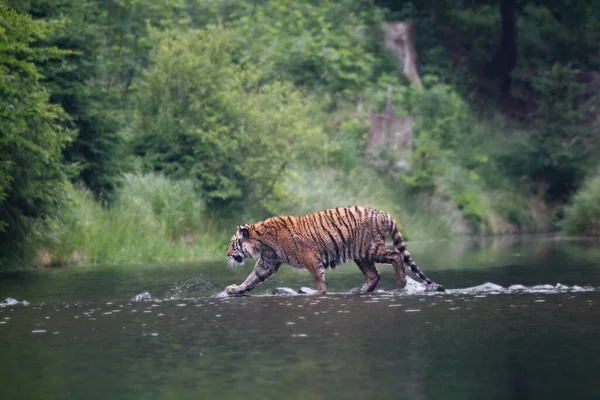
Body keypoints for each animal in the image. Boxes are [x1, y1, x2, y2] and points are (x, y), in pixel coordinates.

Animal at [225, 206, 446, 294]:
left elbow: (318, 276)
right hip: (361, 255)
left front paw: (319, 293)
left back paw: (401, 283)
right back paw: (361, 290)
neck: (261, 241)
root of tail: (382, 213)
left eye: (233, 243)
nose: (227, 254)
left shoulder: (308, 256)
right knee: (374, 275)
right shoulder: (268, 262)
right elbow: (252, 279)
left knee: (396, 255)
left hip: (371, 249)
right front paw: (235, 289)